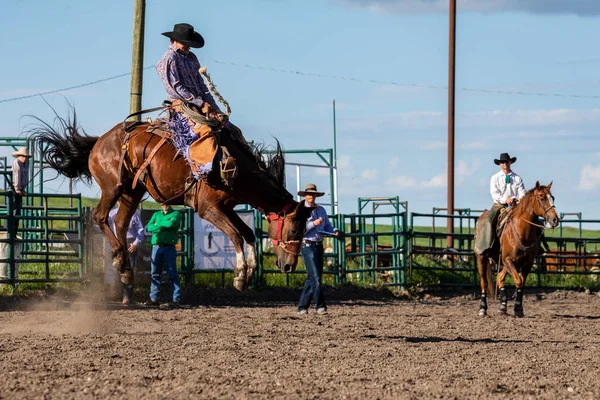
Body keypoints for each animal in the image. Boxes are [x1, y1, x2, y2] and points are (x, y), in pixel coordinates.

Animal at [29, 108, 314, 290]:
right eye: (295, 228)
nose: (289, 266)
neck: (237, 169)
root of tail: (99, 141)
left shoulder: (228, 207)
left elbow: (248, 233)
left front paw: (250, 271)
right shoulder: (207, 208)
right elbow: (235, 235)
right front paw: (241, 276)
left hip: (132, 192)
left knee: (120, 222)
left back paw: (125, 269)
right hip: (112, 187)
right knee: (101, 216)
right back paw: (120, 258)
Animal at [476, 182, 560, 318]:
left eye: (553, 197)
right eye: (542, 198)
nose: (555, 219)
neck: (522, 232)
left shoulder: (527, 262)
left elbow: (521, 283)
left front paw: (518, 308)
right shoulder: (508, 259)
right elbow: (518, 281)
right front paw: (517, 308)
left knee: (500, 277)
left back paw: (502, 307)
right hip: (482, 257)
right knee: (484, 283)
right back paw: (483, 309)